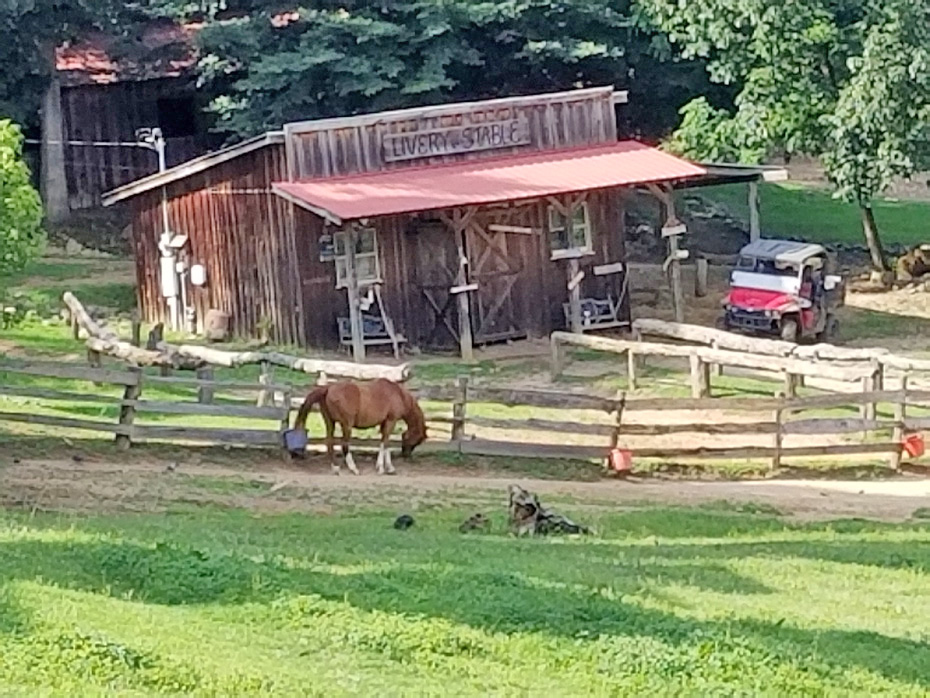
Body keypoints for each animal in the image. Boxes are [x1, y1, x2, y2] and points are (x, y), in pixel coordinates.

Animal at [292, 378, 426, 476]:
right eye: (416, 441)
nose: (406, 455)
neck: (398, 394)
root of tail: (328, 388)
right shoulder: (390, 421)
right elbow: (385, 443)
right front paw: (383, 468)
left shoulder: (384, 423)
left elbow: (384, 443)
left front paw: (386, 467)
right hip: (347, 425)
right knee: (344, 445)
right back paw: (354, 469)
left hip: (330, 422)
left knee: (329, 442)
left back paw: (335, 468)